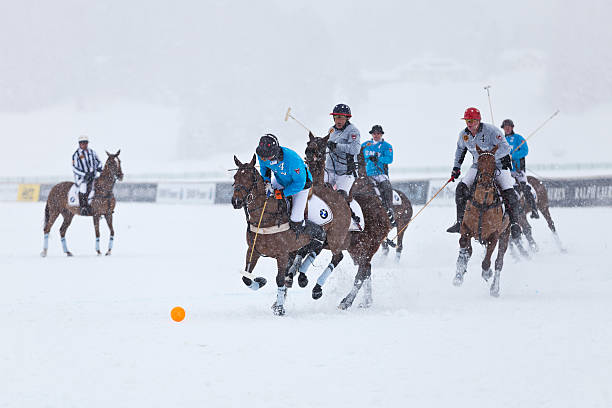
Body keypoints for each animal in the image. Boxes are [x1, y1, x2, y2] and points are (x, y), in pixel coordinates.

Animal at [232, 153, 352, 316]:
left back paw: (316, 289)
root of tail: (341, 196)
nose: (236, 201)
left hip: (335, 236)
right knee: (315, 248)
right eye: (235, 177)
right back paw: (302, 277)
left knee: (337, 256)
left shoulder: (282, 253)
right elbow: (246, 277)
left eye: (251, 178)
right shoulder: (253, 250)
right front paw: (261, 282)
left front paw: (280, 308)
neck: (265, 217)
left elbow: (279, 279)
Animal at [302, 134, 392, 310]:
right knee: (366, 269)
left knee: (362, 273)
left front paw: (314, 287)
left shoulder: (328, 240)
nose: (308, 153)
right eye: (308, 142)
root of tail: (383, 212)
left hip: (369, 246)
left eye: (322, 145)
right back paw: (366, 301)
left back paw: (346, 301)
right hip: (356, 249)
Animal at [452, 146, 520, 296]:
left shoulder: (494, 235)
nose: (485, 183)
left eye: (494, 164)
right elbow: (464, 247)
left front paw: (487, 273)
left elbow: (487, 262)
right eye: (479, 163)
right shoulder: (466, 228)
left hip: (505, 234)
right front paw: (458, 275)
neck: (483, 202)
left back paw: (494, 289)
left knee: (499, 262)